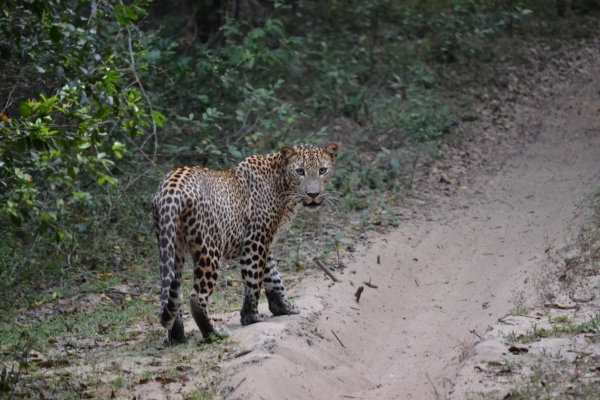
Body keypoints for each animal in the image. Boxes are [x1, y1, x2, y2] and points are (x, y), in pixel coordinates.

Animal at [151, 142, 338, 342]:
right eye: (300, 171)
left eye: (322, 170)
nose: (313, 194)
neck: (284, 185)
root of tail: (171, 188)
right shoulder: (255, 240)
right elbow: (254, 279)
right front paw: (251, 318)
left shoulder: (266, 243)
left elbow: (273, 277)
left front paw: (283, 307)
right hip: (210, 247)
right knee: (196, 296)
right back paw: (214, 333)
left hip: (171, 247)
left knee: (171, 291)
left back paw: (177, 336)